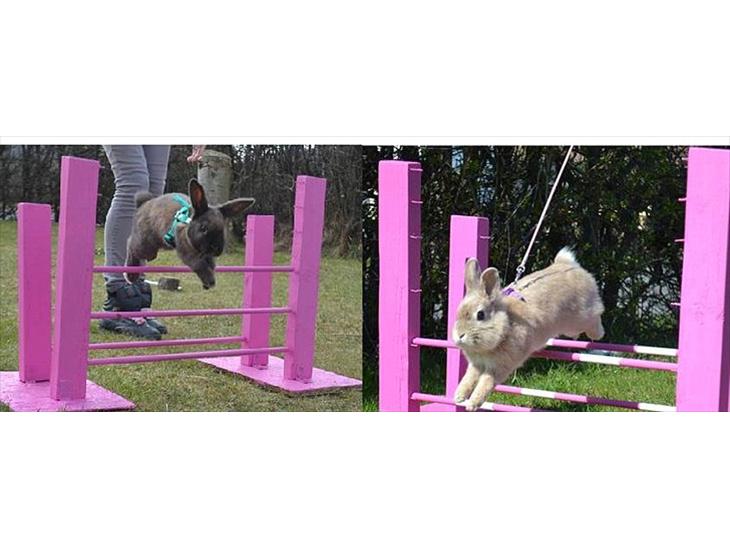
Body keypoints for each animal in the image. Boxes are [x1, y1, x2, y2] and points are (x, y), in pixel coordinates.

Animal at [125, 178, 255, 289]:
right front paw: (210, 281)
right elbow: (199, 265)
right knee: (131, 245)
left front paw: (208, 283)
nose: (217, 250)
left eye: (222, 229)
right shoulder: (186, 250)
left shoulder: (207, 255)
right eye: (203, 228)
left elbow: (211, 265)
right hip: (146, 247)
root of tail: (143, 204)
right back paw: (131, 276)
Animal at [452, 247, 605, 411]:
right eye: (458, 313)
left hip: (581, 317)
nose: (459, 336)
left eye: (480, 315)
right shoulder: (476, 365)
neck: (506, 326)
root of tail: (568, 264)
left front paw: (472, 404)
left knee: (596, 316)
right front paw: (459, 397)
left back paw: (599, 334)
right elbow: (468, 379)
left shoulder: (499, 368)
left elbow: (486, 383)